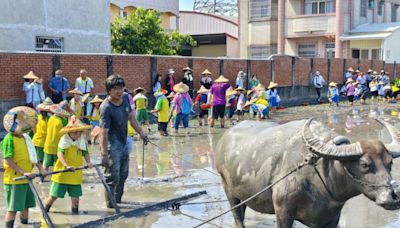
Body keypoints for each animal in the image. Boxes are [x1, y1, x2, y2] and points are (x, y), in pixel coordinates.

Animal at [217, 118, 400, 227]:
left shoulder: (333, 218)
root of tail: (224, 138)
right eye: (364, 164)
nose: (394, 196)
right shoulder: (283, 212)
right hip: (228, 190)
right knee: (237, 216)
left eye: (390, 162)